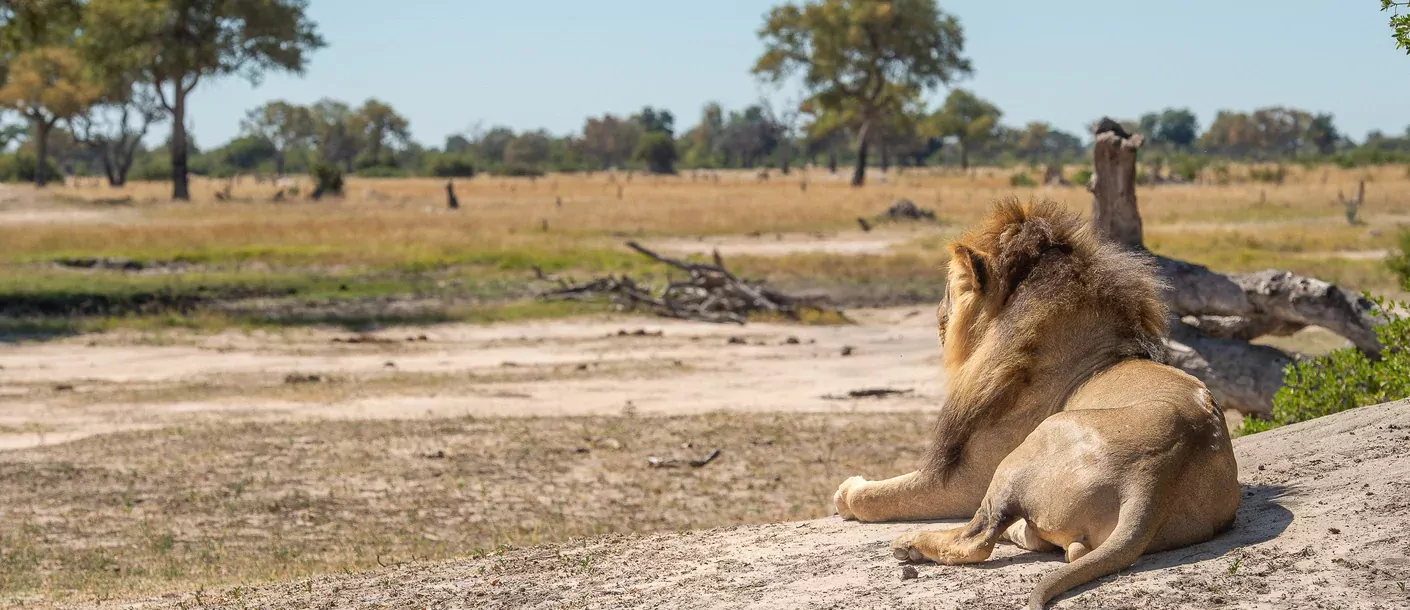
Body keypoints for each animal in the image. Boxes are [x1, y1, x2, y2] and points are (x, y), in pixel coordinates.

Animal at [829, 197, 1240, 605]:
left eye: (949, 288)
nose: (937, 316)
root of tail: (1152, 480)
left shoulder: (960, 481)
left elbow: (879, 497)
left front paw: (848, 491)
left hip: (1026, 450)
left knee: (978, 539)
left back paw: (911, 544)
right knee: (1068, 549)